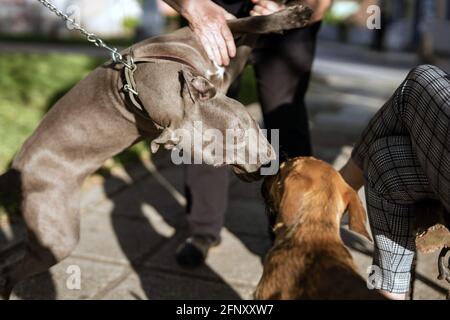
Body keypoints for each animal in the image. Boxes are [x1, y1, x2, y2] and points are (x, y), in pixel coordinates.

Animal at [0, 3, 312, 298]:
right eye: (216, 161)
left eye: (241, 127)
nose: (262, 169)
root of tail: (16, 164)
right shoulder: (224, 66)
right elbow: (250, 36)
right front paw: (291, 16)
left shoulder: (209, 38)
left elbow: (247, 24)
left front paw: (280, 15)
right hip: (57, 234)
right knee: (14, 270)